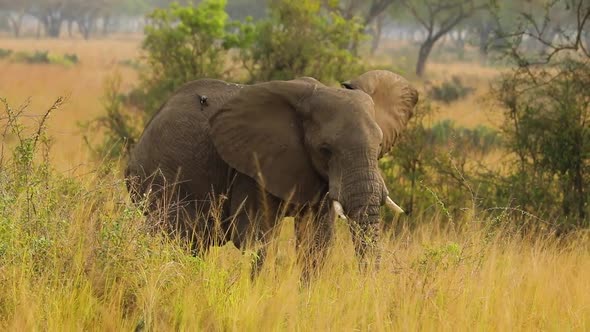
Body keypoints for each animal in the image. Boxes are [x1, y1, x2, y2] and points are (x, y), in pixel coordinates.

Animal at [126, 70, 418, 278]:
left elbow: (316, 242)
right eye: (325, 150)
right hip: (160, 179)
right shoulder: (251, 168)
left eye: (379, 147)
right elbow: (255, 239)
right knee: (183, 238)